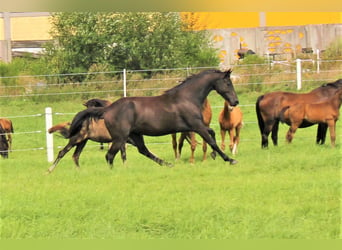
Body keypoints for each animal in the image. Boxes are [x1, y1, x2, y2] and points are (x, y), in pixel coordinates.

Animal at [47, 69, 238, 173]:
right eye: (228, 83)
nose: (235, 102)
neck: (187, 98)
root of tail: (107, 109)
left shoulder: (196, 126)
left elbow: (211, 135)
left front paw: (215, 156)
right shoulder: (196, 126)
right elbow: (211, 140)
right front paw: (229, 159)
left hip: (134, 136)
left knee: (143, 151)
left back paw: (168, 164)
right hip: (120, 138)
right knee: (109, 155)